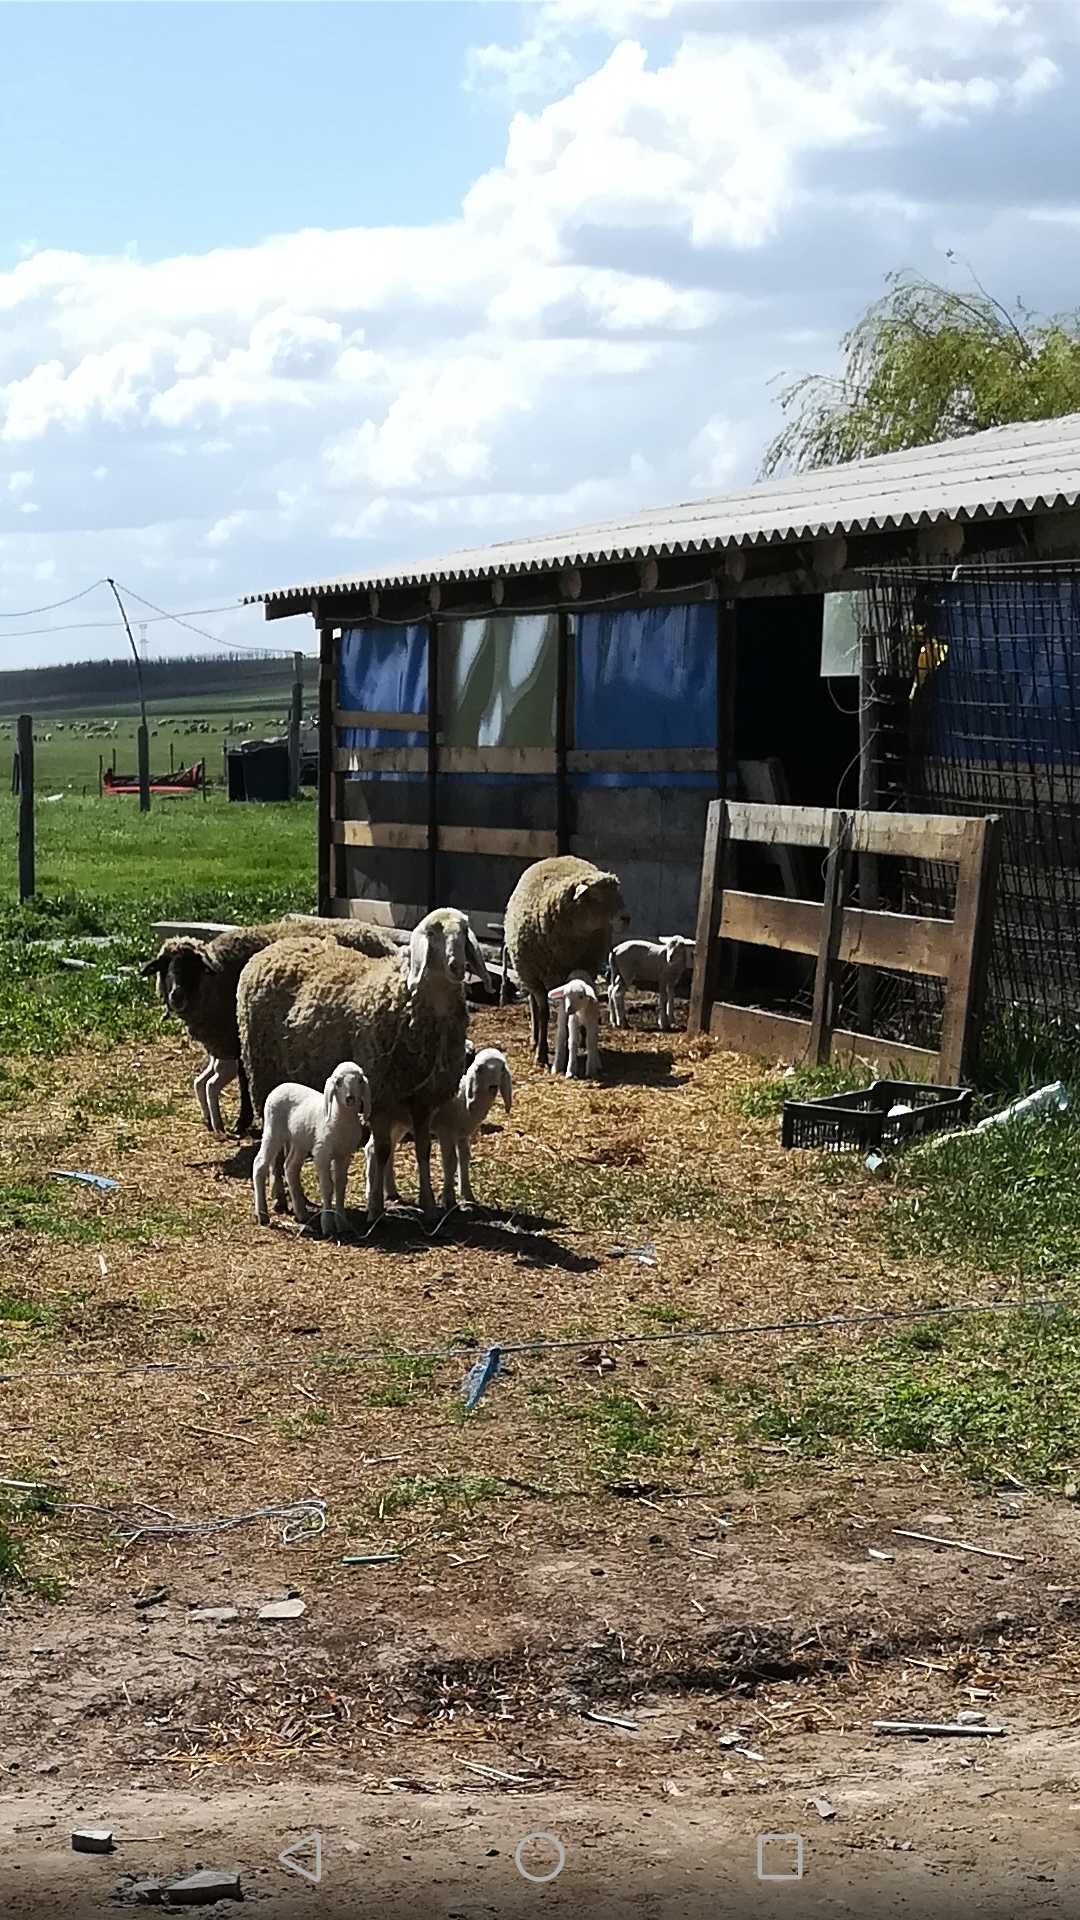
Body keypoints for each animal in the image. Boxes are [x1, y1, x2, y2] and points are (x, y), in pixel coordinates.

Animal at [253, 1059, 372, 1236]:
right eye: (338, 1082)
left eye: (359, 1081)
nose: (350, 1098)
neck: (340, 1120)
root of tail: (280, 1086)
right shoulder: (322, 1152)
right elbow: (327, 1187)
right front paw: (327, 1224)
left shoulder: (344, 1154)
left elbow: (340, 1186)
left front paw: (342, 1223)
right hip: (273, 1130)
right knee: (259, 1164)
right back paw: (263, 1215)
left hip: (299, 1141)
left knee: (290, 1167)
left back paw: (301, 1213)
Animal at [503, 856, 626, 1067]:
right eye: (596, 897)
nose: (626, 918)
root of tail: (556, 857)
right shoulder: (537, 976)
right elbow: (543, 1012)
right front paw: (541, 1054)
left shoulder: (587, 968)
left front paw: (582, 1038)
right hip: (528, 973)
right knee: (533, 1004)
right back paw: (535, 1039)